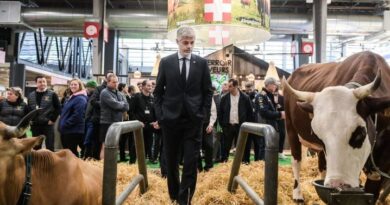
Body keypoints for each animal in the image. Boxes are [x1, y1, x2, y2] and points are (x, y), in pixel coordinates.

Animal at [282, 51, 390, 203]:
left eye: (360, 134)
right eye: (319, 138)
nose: (336, 184)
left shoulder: (382, 167)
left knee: (321, 165)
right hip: (290, 128)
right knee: (296, 161)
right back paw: (298, 194)